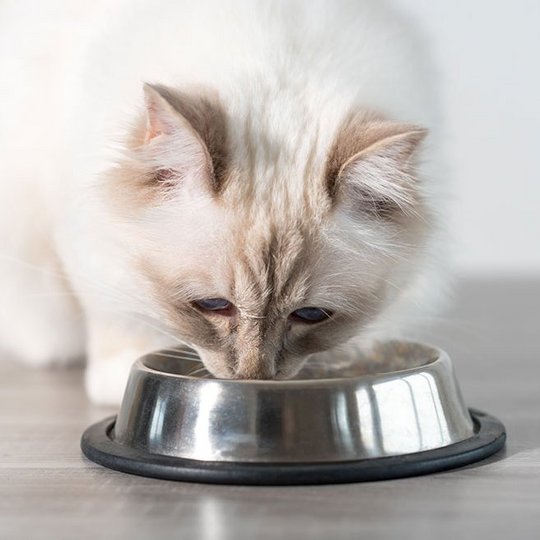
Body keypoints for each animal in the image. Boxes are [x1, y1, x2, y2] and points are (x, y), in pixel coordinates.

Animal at [0, 0, 448, 404]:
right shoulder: (88, 238)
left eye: (310, 315)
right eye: (213, 306)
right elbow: (119, 314)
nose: (254, 377)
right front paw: (119, 376)